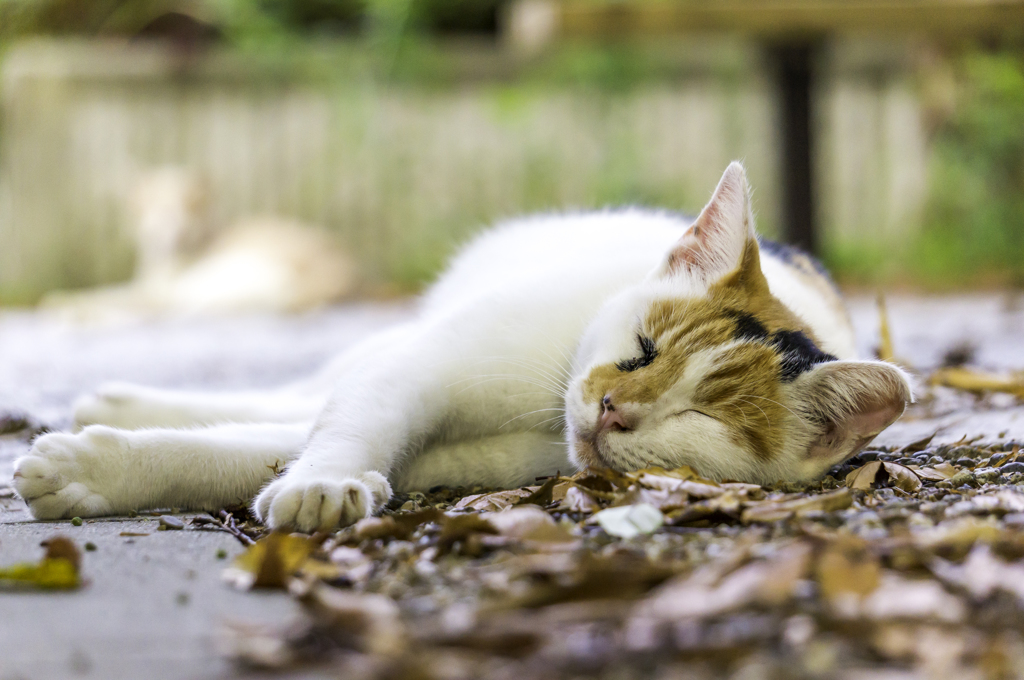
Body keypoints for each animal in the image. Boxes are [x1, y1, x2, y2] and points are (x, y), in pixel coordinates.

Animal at [12, 163, 913, 532]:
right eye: (641, 349)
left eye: (701, 417)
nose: (612, 409)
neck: (545, 415)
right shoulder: (422, 367)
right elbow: (348, 419)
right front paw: (328, 480)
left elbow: (252, 450)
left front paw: (97, 472)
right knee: (315, 382)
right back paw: (115, 396)